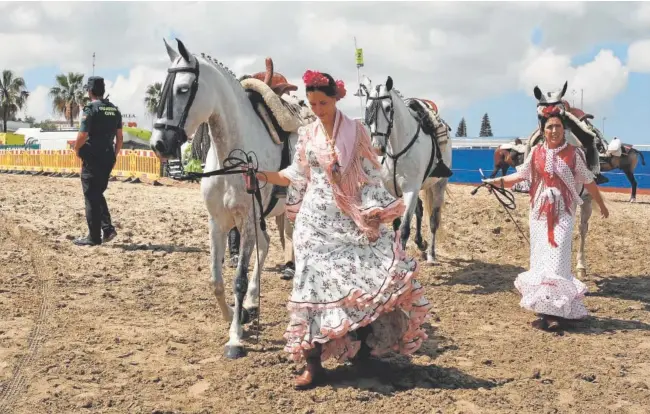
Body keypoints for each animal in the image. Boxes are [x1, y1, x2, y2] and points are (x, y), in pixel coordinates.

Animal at [149, 38, 298, 360]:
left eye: (183, 89)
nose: (159, 144)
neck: (233, 157)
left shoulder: (246, 220)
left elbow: (238, 280)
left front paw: (235, 338)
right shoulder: (218, 222)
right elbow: (215, 281)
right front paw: (235, 315)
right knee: (265, 246)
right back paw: (253, 303)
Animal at [362, 76, 454, 266]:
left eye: (388, 108)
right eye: (367, 107)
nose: (377, 147)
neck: (397, 151)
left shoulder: (410, 189)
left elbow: (404, 228)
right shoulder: (393, 190)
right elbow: (397, 224)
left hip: (439, 184)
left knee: (434, 220)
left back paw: (431, 254)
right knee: (419, 209)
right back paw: (421, 244)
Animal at [524, 81, 600, 278]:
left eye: (561, 114)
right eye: (540, 115)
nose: (553, 130)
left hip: (586, 199)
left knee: (582, 228)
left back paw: (580, 265)